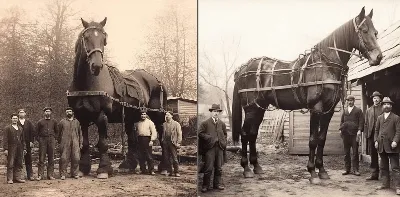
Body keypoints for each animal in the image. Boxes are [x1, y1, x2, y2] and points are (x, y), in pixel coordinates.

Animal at [67, 18, 167, 179]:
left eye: (104, 39)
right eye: (86, 37)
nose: (96, 65)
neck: (86, 84)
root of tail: (157, 80)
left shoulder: (102, 115)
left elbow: (102, 144)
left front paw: (103, 169)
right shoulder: (82, 116)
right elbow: (85, 144)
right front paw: (83, 168)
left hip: (157, 115)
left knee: (163, 139)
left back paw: (164, 167)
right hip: (130, 117)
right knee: (132, 140)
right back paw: (128, 165)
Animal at [233, 7, 382, 183]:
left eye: (375, 32)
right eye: (364, 31)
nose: (378, 57)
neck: (325, 65)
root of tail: (242, 69)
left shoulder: (328, 110)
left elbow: (321, 140)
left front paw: (322, 170)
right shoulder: (316, 108)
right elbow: (312, 140)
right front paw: (312, 172)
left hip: (259, 108)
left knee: (252, 134)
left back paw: (256, 167)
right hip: (250, 109)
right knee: (244, 134)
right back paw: (246, 168)